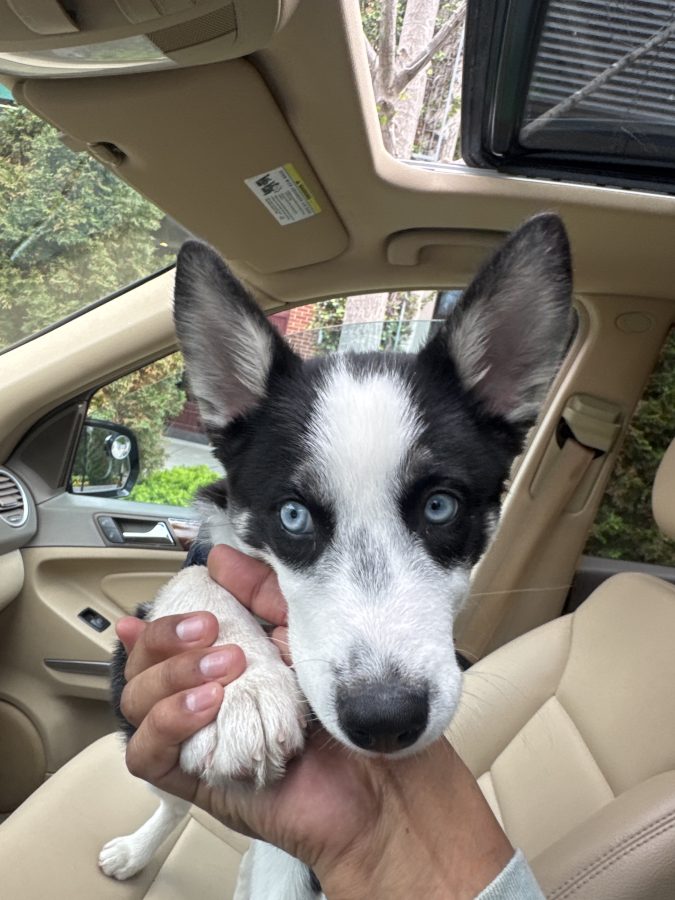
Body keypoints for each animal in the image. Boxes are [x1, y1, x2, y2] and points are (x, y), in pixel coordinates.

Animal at [98, 213, 573, 898]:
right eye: (293, 517)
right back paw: (137, 850)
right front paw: (242, 684)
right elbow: (197, 582)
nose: (384, 718)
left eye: (440, 507)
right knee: (171, 802)